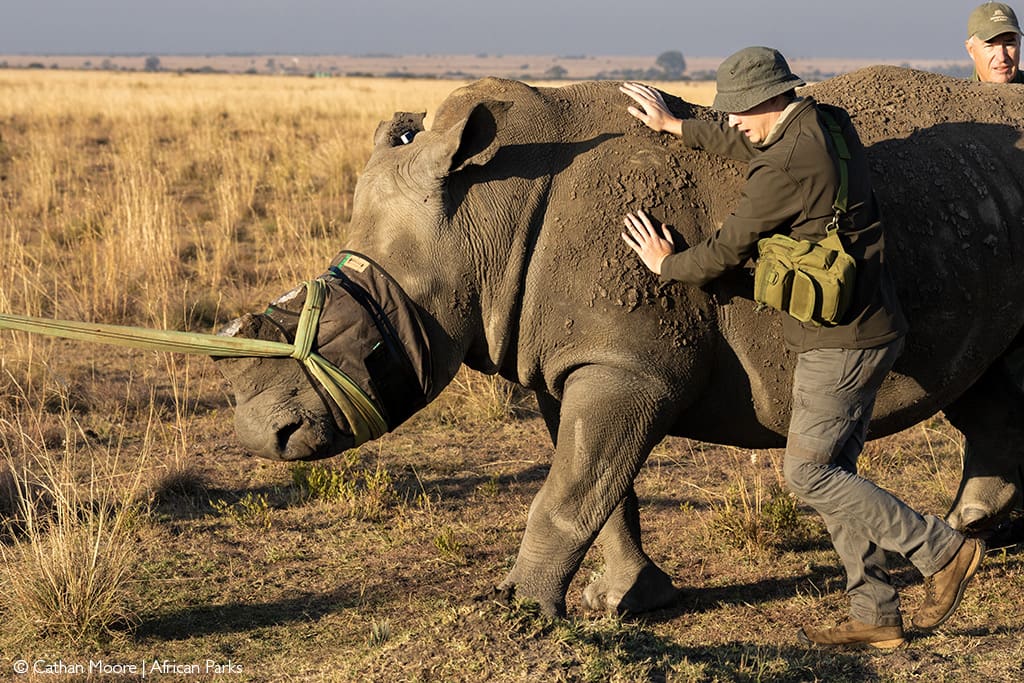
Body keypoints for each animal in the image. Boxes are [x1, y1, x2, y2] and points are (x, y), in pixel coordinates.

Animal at [216, 66, 1024, 618]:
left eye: (357, 339)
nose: (259, 433)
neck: (481, 214)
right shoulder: (578, 358)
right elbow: (599, 485)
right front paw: (626, 600)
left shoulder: (629, 366)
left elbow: (569, 490)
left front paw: (517, 610)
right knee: (989, 394)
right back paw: (970, 542)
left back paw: (961, 550)